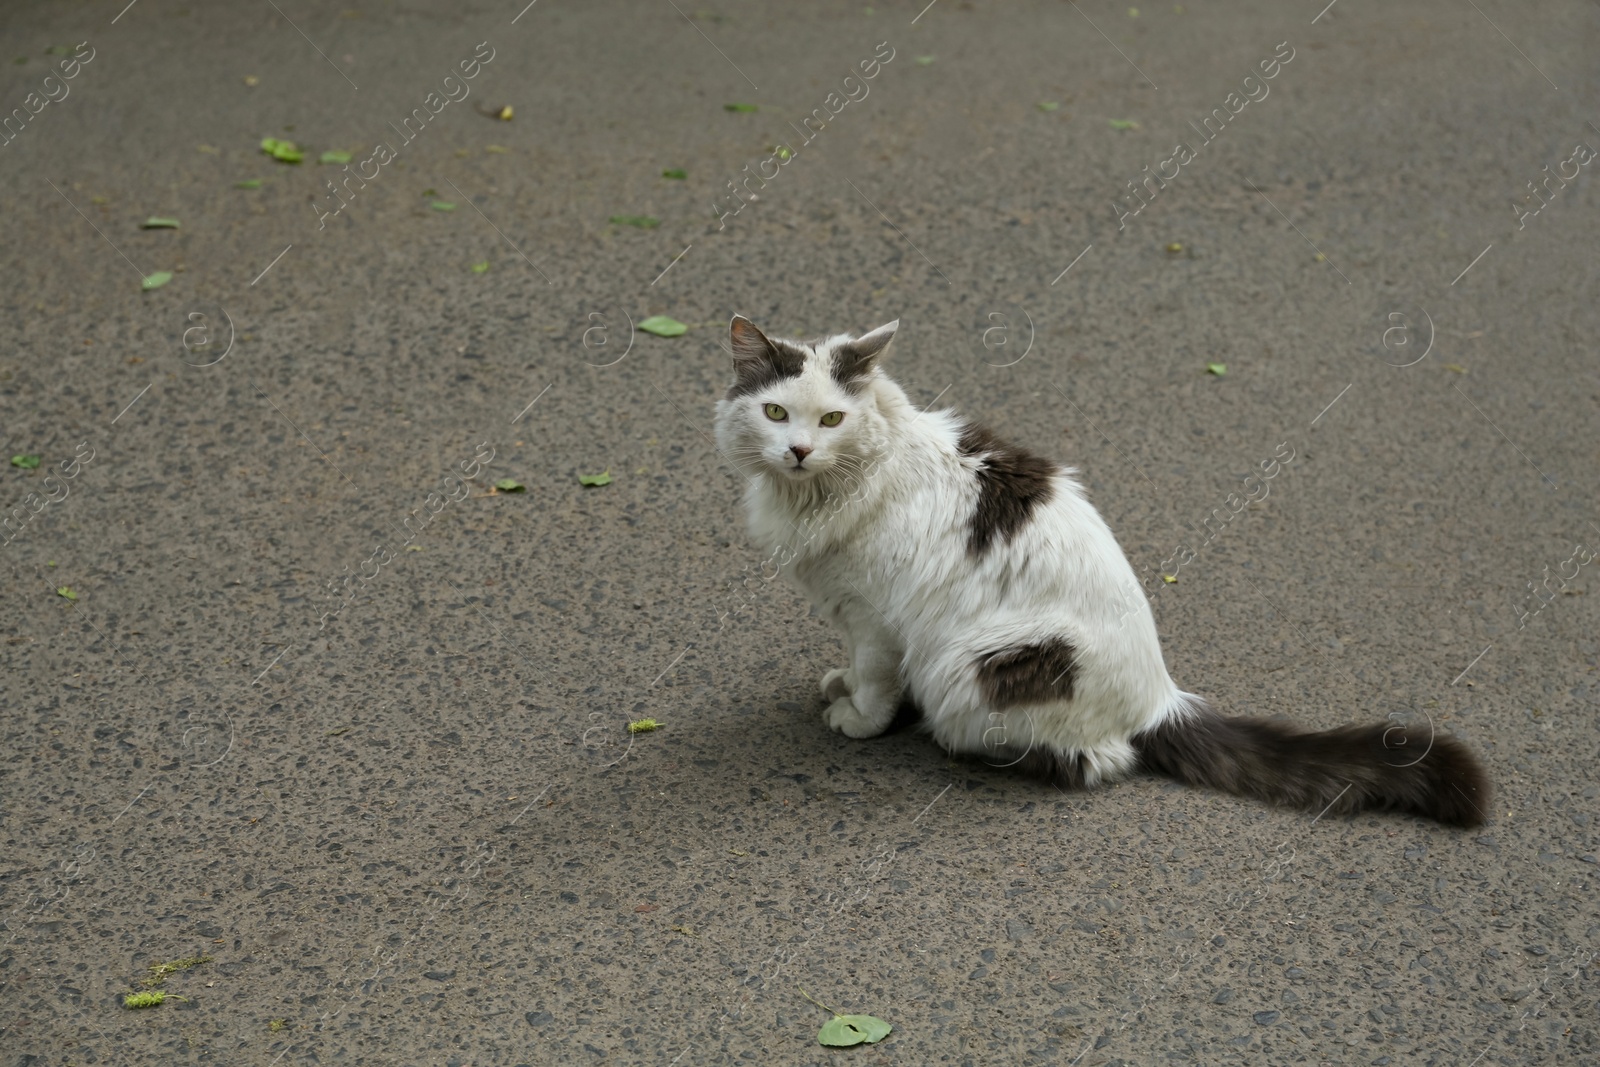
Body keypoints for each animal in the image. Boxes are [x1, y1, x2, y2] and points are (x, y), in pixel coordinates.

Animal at [713, 313, 1484, 831]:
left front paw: (860, 717)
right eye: (775, 411)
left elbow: (875, 679)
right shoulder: (846, 606)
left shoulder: (875, 614)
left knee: (1092, 760)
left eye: (833, 418)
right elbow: (853, 663)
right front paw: (839, 686)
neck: (814, 498)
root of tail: (1161, 695)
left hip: (971, 665)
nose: (799, 450)